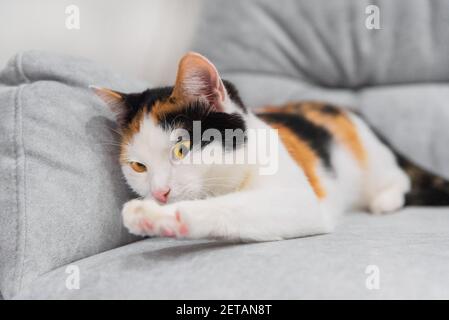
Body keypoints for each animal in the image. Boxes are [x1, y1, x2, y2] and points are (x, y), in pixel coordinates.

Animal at [91, 51, 448, 241]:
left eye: (181, 149)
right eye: (138, 166)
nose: (159, 193)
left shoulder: (301, 201)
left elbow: (232, 206)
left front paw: (155, 215)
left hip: (372, 160)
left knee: (399, 177)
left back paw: (385, 200)